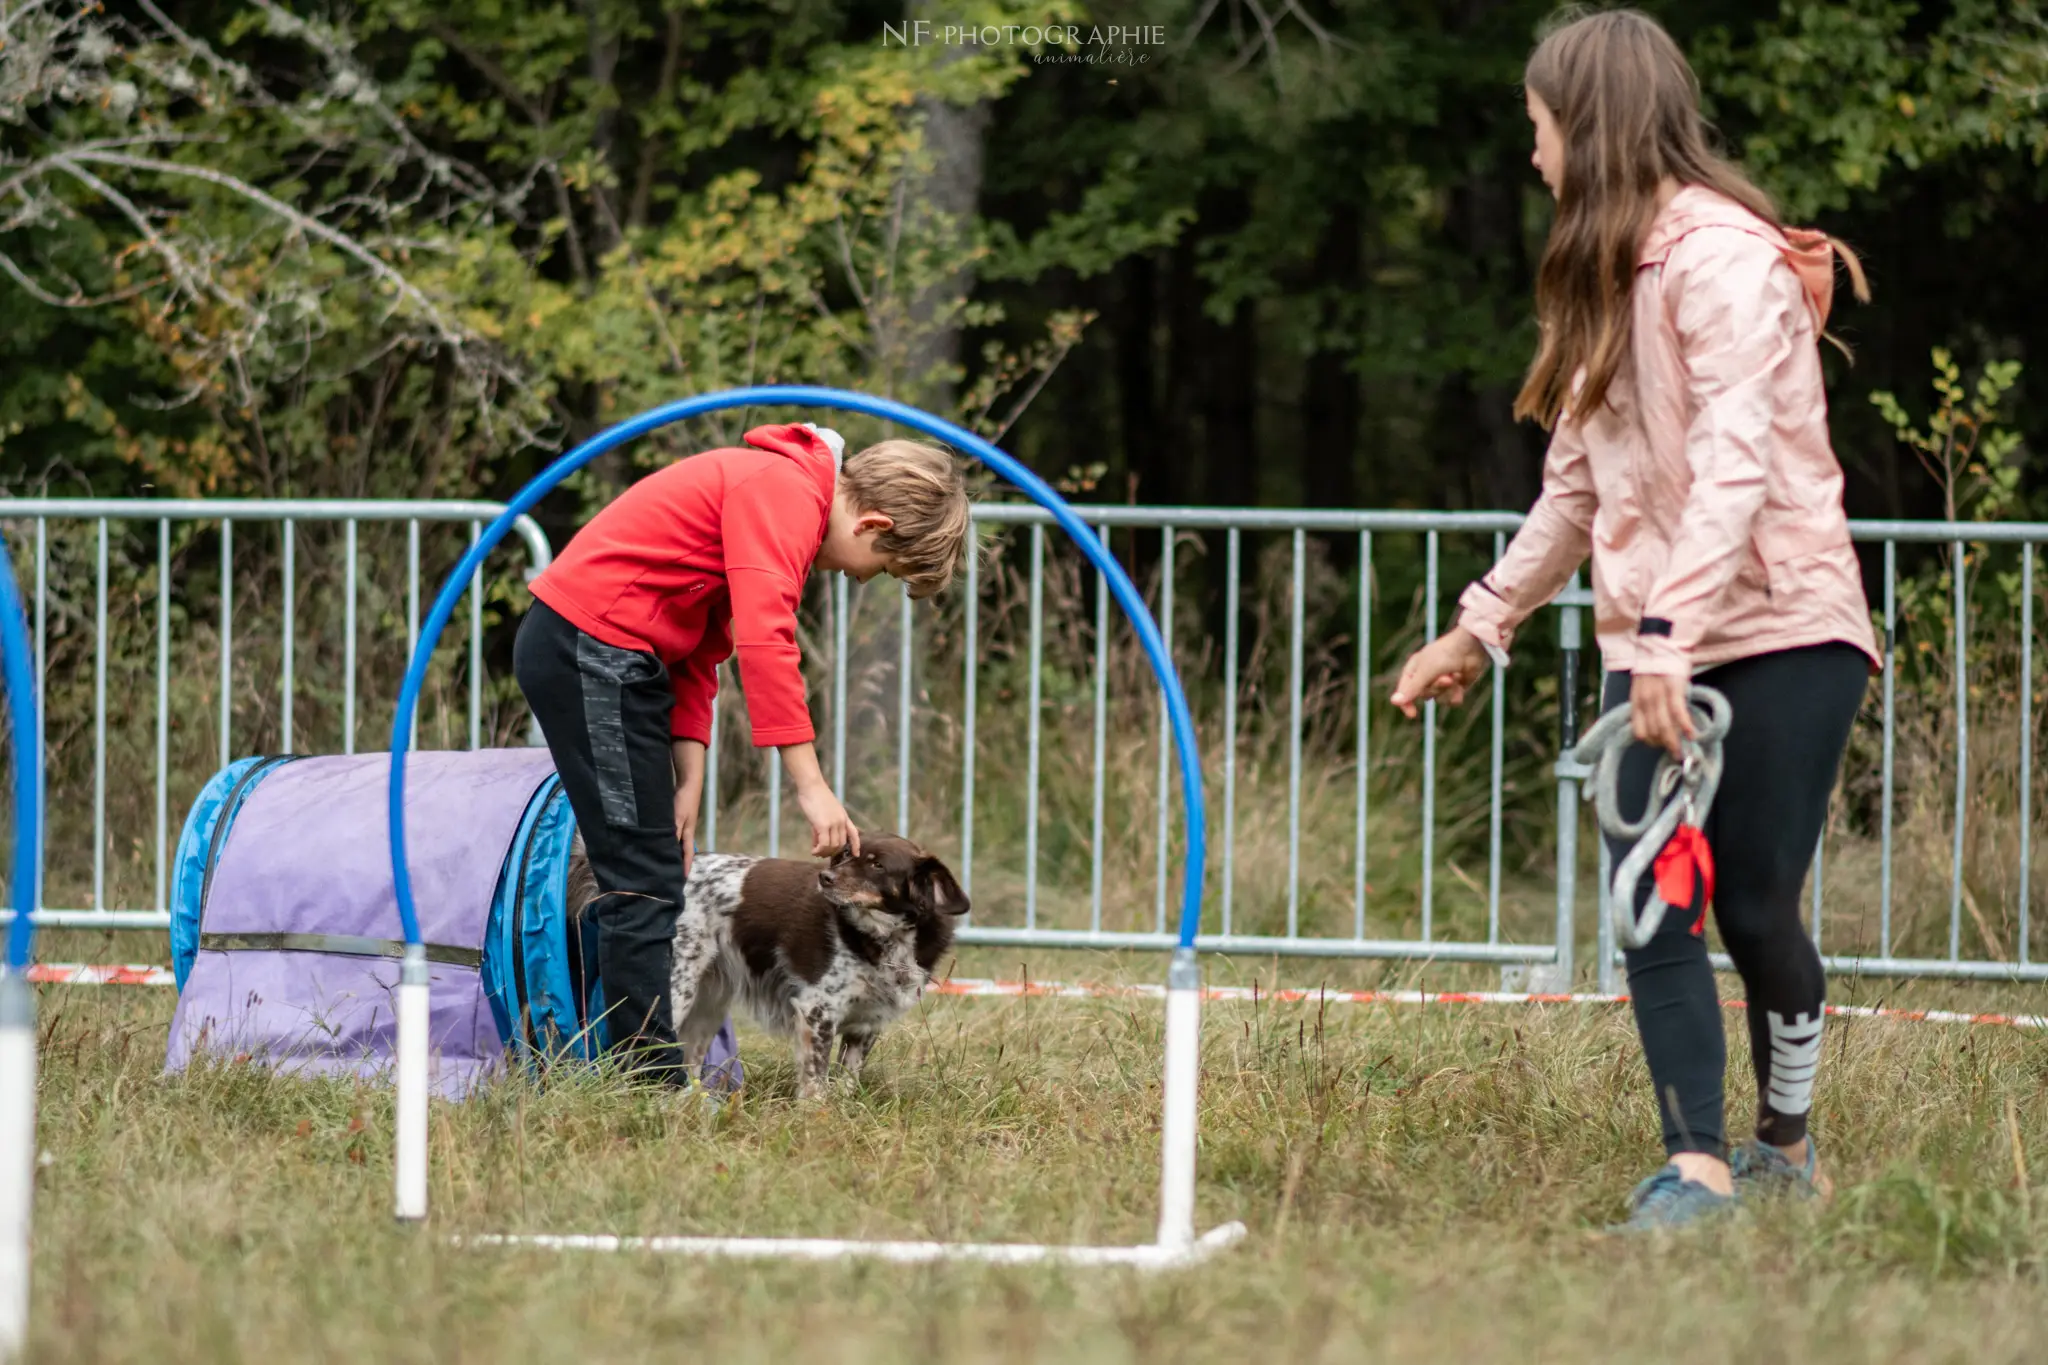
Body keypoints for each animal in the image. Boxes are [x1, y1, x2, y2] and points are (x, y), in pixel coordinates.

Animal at [565, 834, 970, 1096]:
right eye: (843, 856)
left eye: (878, 865)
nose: (825, 878)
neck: (880, 937)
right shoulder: (816, 1012)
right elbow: (816, 1084)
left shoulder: (865, 1026)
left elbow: (847, 1082)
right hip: (676, 991)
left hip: (707, 1004)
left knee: (689, 1060)